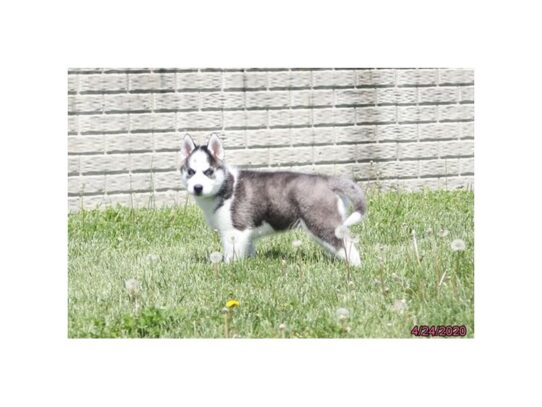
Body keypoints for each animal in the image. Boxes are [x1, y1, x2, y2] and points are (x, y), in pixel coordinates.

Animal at [181, 135, 368, 268]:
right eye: (190, 172)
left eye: (208, 172)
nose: (197, 187)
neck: (225, 187)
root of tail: (327, 180)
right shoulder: (246, 234)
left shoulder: (236, 230)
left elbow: (231, 255)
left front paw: (229, 268)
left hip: (322, 224)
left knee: (347, 245)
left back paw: (356, 266)